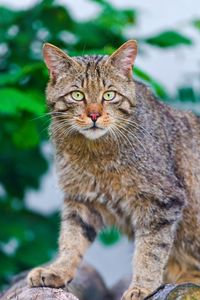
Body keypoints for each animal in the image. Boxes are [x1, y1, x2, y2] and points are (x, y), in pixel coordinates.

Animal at [27, 40, 200, 300]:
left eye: (109, 95)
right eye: (77, 95)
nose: (94, 114)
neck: (96, 154)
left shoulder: (163, 201)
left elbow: (150, 251)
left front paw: (143, 285)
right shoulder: (80, 199)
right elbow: (71, 239)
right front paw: (58, 269)